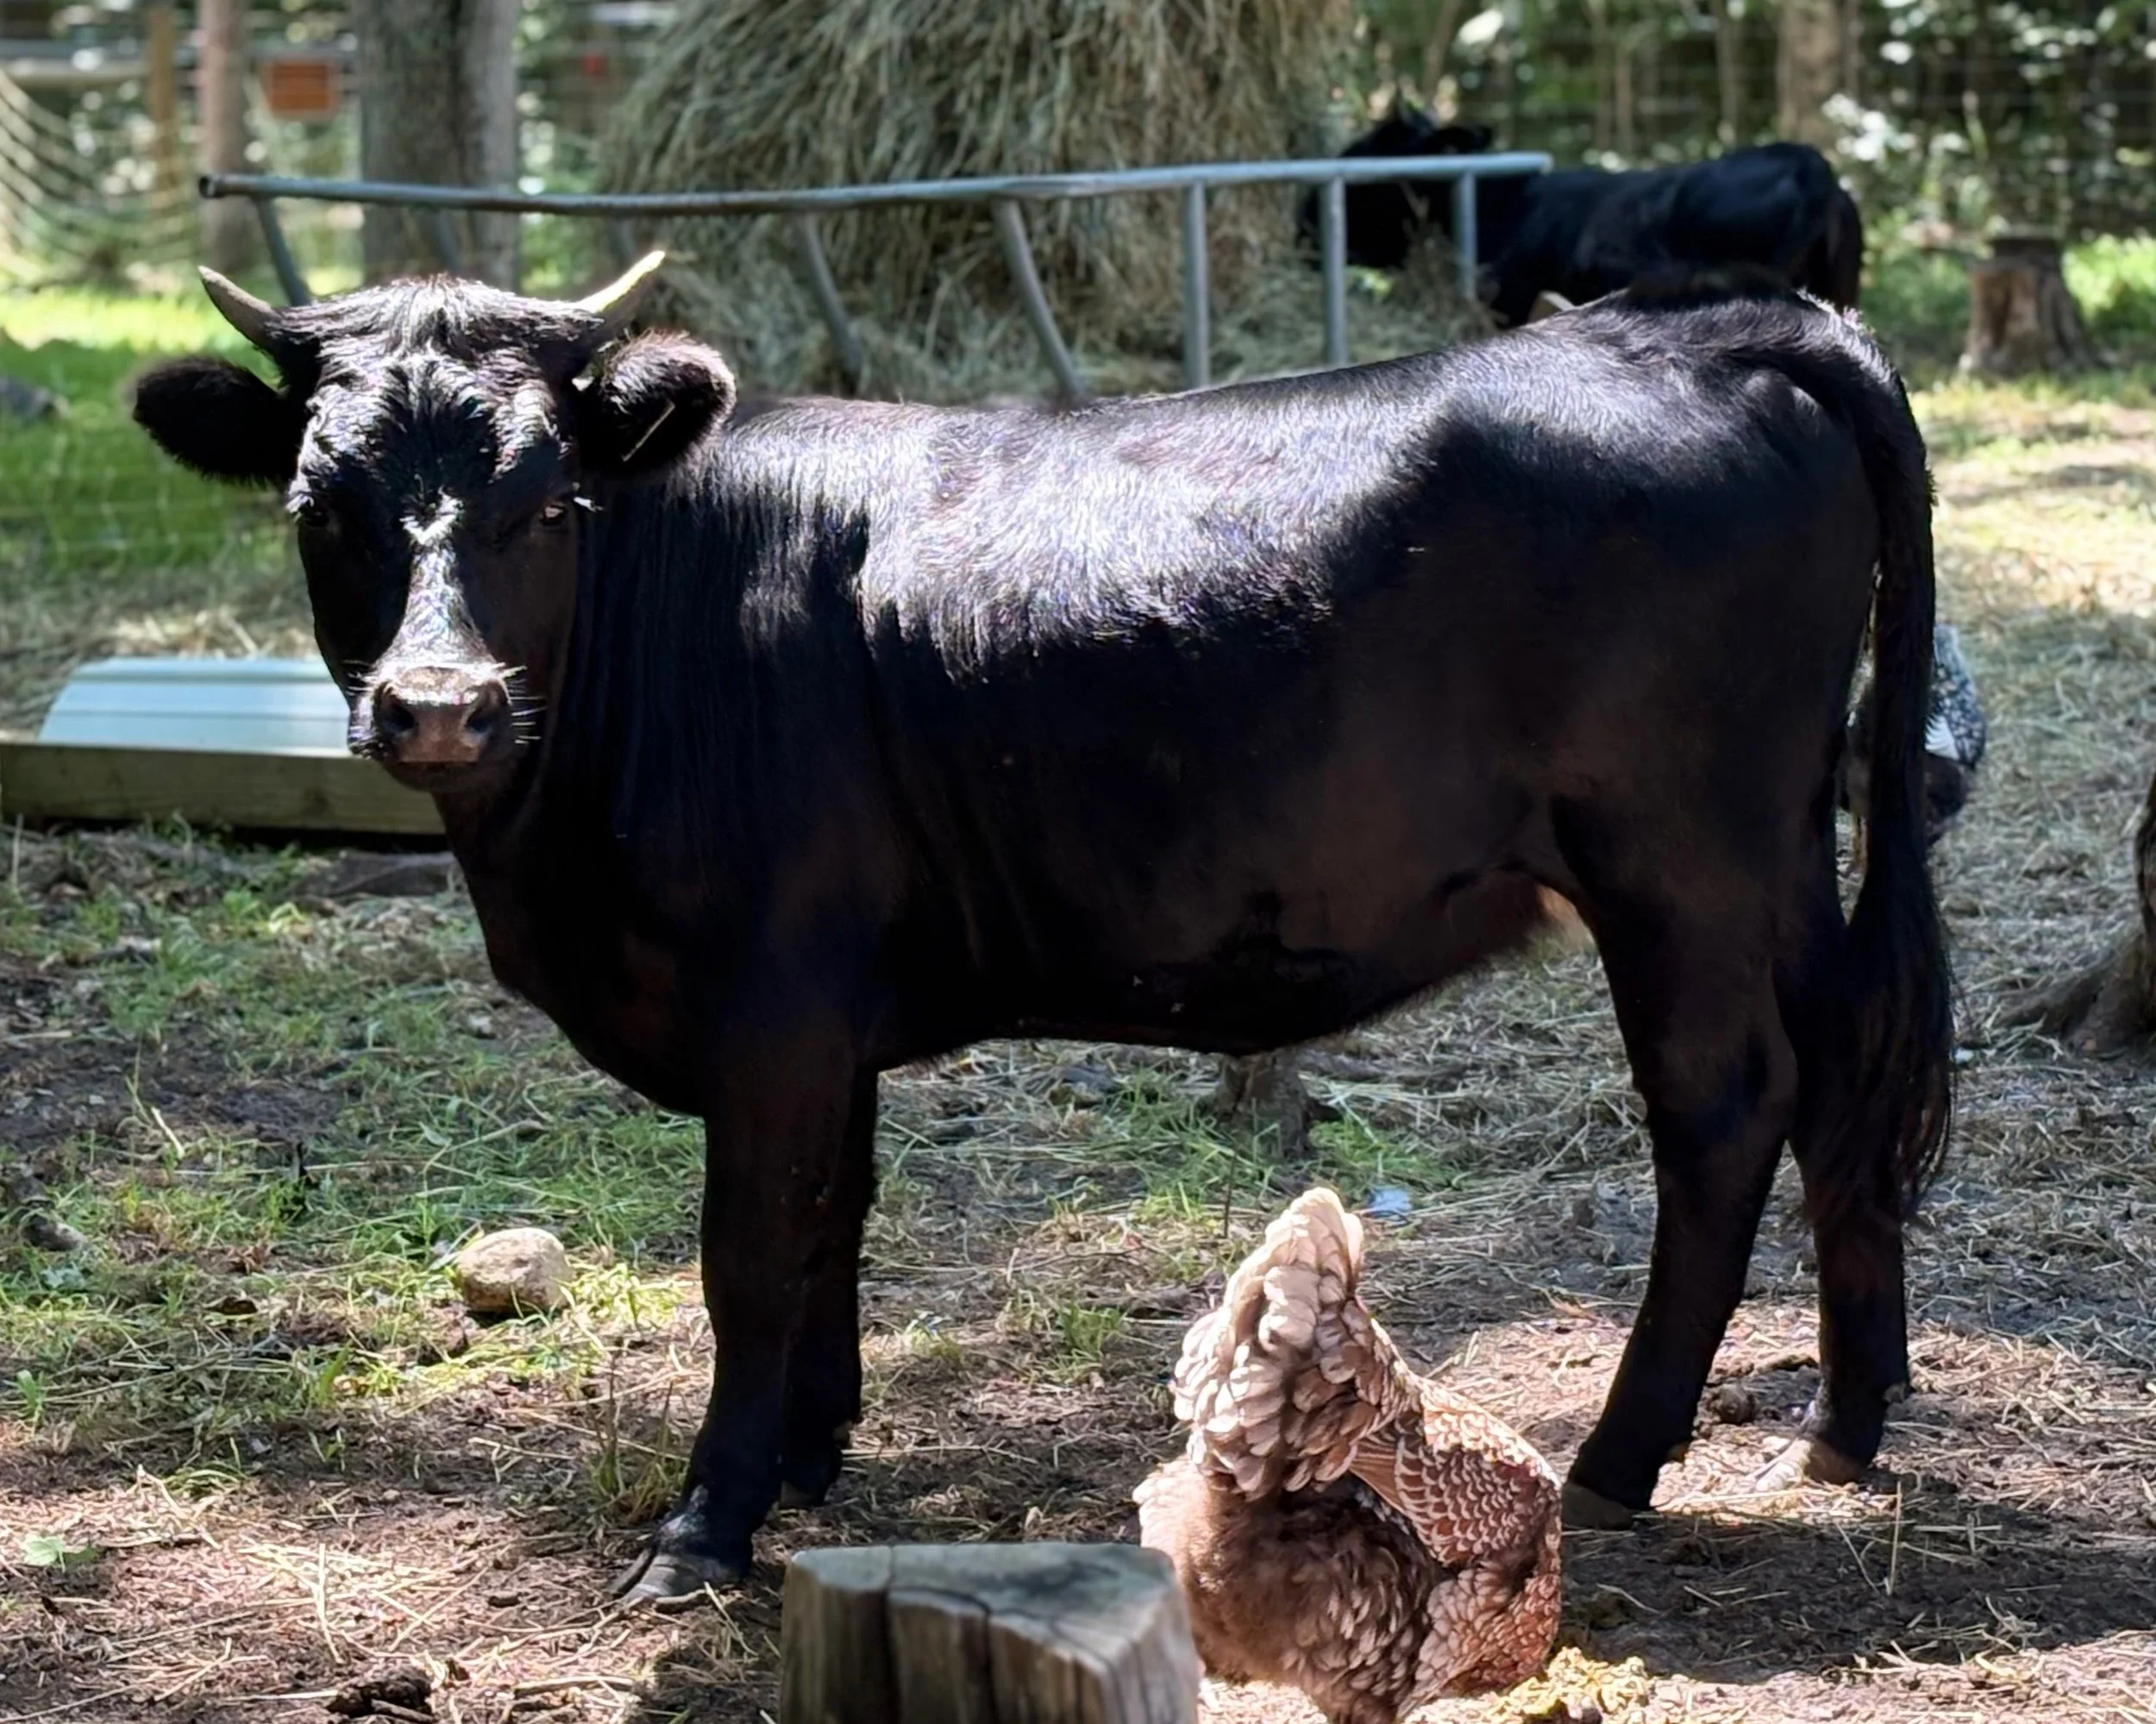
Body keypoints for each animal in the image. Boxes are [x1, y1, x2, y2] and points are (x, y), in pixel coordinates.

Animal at [132, 257, 1951, 1604]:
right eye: (320, 502)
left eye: (548, 501)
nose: (435, 706)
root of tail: (1702, 329)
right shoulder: (828, 1013)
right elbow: (833, 1218)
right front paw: (809, 1449)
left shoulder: (770, 1003)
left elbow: (750, 1254)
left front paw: (706, 1528)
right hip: (1782, 857)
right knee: (1842, 1080)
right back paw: (1846, 1415)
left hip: (1681, 859)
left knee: (1723, 1110)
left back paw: (1624, 1453)